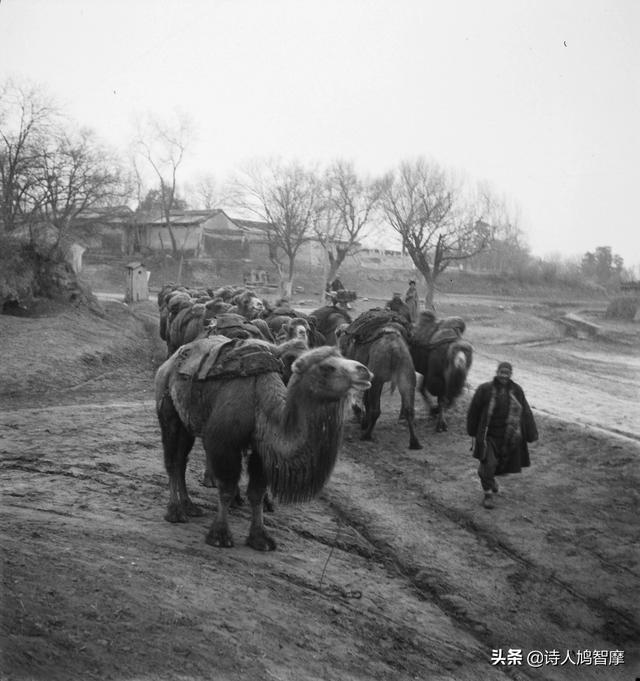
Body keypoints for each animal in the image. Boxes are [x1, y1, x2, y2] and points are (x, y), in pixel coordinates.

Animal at [156, 340, 372, 548]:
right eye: (327, 367)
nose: (364, 370)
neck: (260, 401)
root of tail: (171, 360)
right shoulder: (223, 444)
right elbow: (226, 488)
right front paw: (220, 535)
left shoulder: (263, 452)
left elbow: (257, 493)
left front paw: (260, 538)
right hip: (168, 408)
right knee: (172, 460)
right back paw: (175, 512)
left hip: (187, 423)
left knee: (181, 460)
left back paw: (190, 507)